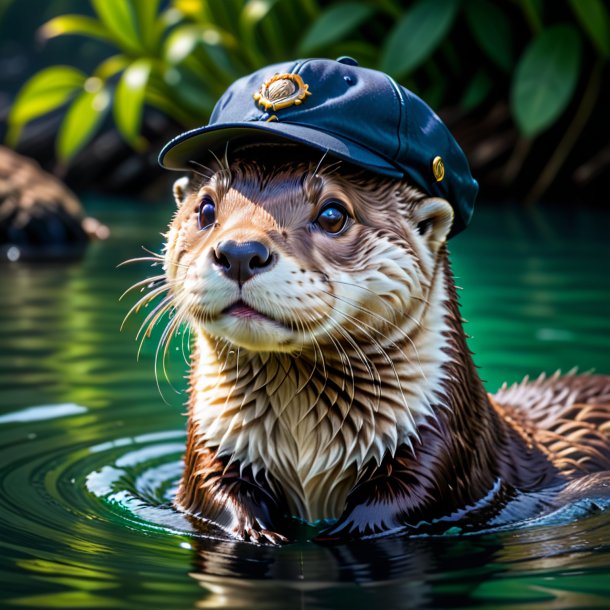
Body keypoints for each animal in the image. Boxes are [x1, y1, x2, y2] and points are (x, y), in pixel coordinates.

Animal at [148, 57, 610, 540]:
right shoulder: (210, 454)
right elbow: (216, 495)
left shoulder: (437, 461)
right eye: (205, 209)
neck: (305, 457)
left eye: (333, 214)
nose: (240, 252)